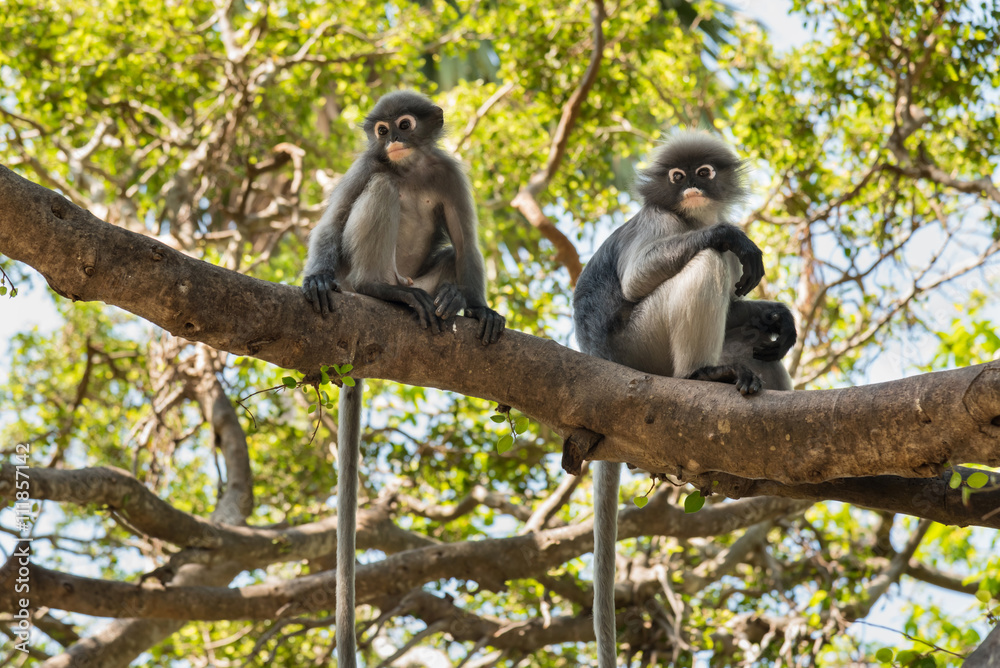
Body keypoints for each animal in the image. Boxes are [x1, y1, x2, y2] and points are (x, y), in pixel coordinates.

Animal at [300, 90, 504, 668]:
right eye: (381, 129)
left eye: (406, 125)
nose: (389, 139)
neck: (411, 167)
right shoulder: (364, 164)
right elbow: (332, 221)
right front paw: (314, 278)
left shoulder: (450, 172)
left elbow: (467, 242)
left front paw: (479, 307)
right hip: (361, 268)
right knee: (379, 194)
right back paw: (381, 291)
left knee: (450, 253)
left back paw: (450, 299)